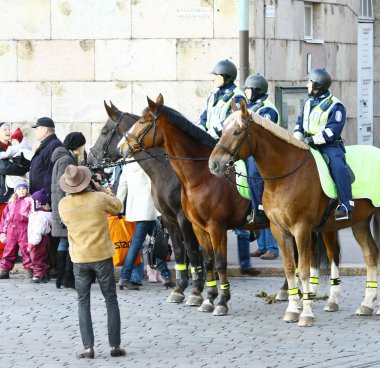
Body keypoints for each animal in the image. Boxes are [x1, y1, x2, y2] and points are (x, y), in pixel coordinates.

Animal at [87, 102, 205, 306]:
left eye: (104, 131)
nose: (89, 160)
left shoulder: (184, 217)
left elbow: (191, 250)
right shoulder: (171, 217)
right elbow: (182, 249)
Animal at [117, 93, 332, 314]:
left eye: (143, 121)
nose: (121, 147)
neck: (200, 175)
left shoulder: (212, 225)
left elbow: (215, 261)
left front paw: (218, 299)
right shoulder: (193, 225)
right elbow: (205, 259)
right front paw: (205, 297)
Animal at [208, 99, 380, 326]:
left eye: (237, 131)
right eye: (222, 130)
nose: (214, 164)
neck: (284, 177)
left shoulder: (302, 229)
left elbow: (304, 270)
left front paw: (306, 312)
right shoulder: (279, 230)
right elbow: (290, 268)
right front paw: (292, 309)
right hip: (359, 222)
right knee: (371, 255)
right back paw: (367, 304)